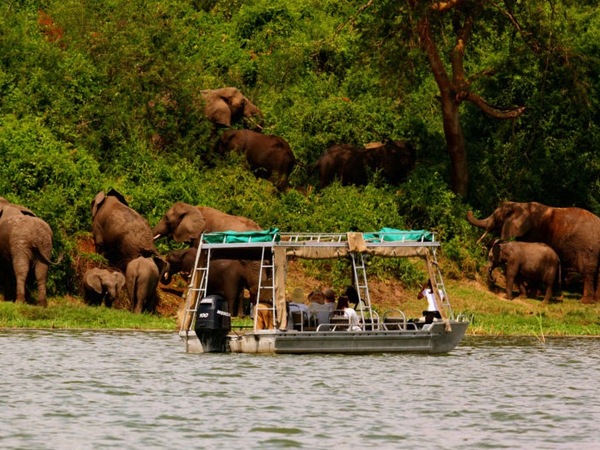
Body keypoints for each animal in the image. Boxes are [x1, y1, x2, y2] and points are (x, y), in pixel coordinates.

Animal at [467, 201, 600, 303]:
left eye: (496, 217)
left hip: (589, 249)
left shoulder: (531, 233)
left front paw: (532, 293)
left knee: (588, 272)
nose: (470, 211)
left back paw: (585, 301)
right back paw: (595, 301)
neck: (521, 205)